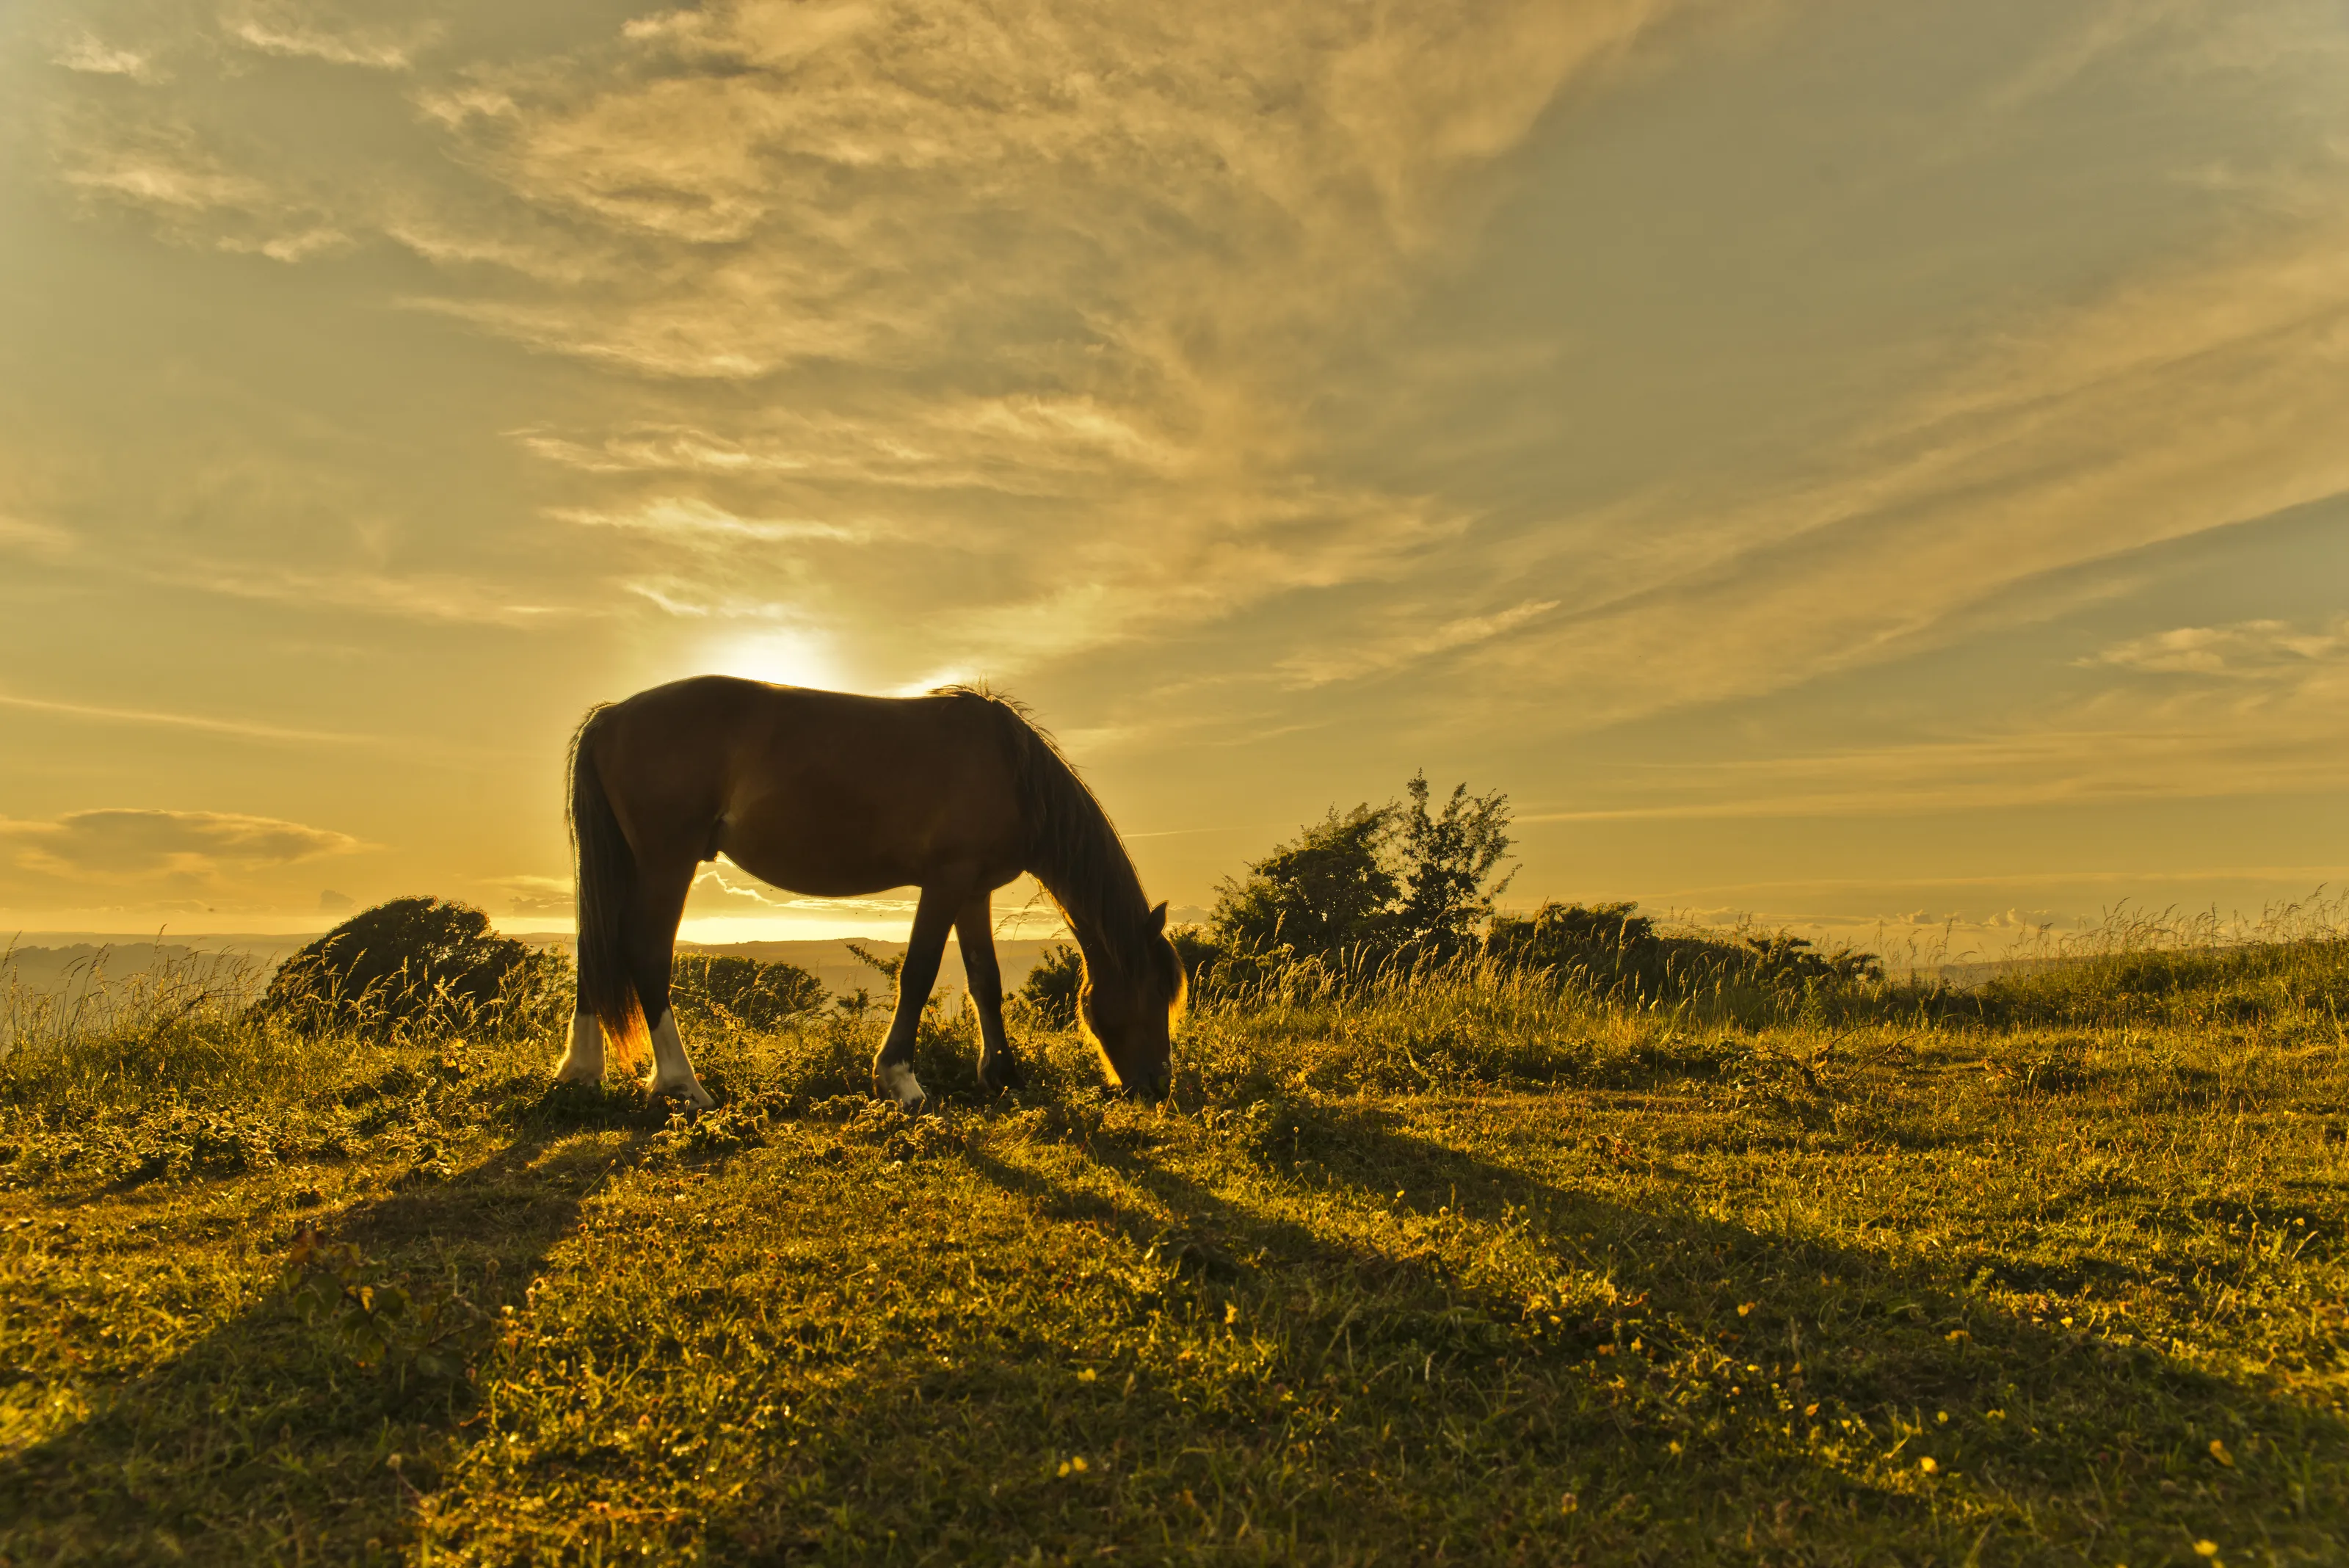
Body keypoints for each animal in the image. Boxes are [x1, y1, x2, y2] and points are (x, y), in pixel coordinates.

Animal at [553, 676, 1186, 1111]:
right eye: (1156, 990)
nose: (1159, 1084)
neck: (1009, 769)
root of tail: (612, 717)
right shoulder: (946, 880)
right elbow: (920, 972)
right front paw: (900, 1079)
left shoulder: (973, 891)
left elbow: (985, 980)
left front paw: (1003, 1075)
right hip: (668, 860)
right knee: (645, 952)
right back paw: (683, 1084)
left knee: (596, 950)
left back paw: (581, 1072)